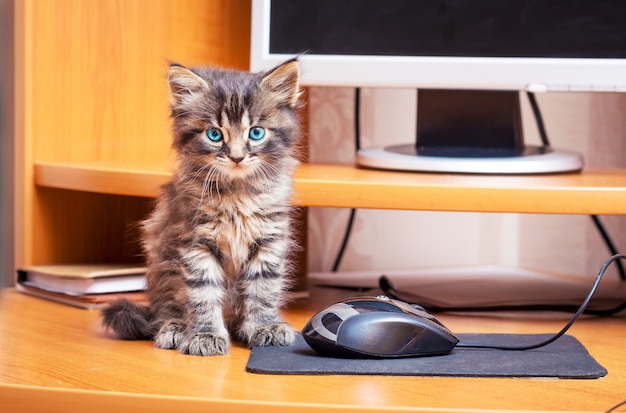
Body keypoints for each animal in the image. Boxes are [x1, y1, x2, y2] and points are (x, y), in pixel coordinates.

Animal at [102, 59, 302, 356]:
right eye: (214, 134)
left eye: (256, 133)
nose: (237, 157)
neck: (236, 193)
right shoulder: (196, 243)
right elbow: (202, 293)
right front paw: (205, 335)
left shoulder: (268, 240)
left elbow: (263, 289)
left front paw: (264, 326)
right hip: (164, 264)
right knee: (166, 309)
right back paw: (174, 329)